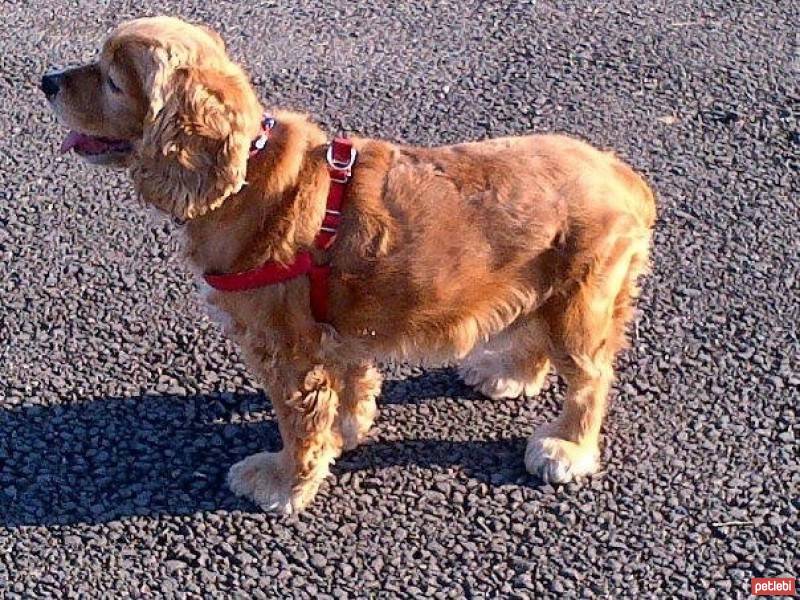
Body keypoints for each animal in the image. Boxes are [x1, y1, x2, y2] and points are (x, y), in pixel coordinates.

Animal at [42, 16, 656, 512]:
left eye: (112, 78)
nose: (46, 80)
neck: (248, 174)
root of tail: (625, 176)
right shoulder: (338, 328)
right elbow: (348, 385)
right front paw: (347, 426)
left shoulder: (287, 350)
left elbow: (298, 424)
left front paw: (284, 482)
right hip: (545, 286)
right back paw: (508, 372)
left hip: (581, 303)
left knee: (591, 379)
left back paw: (566, 447)